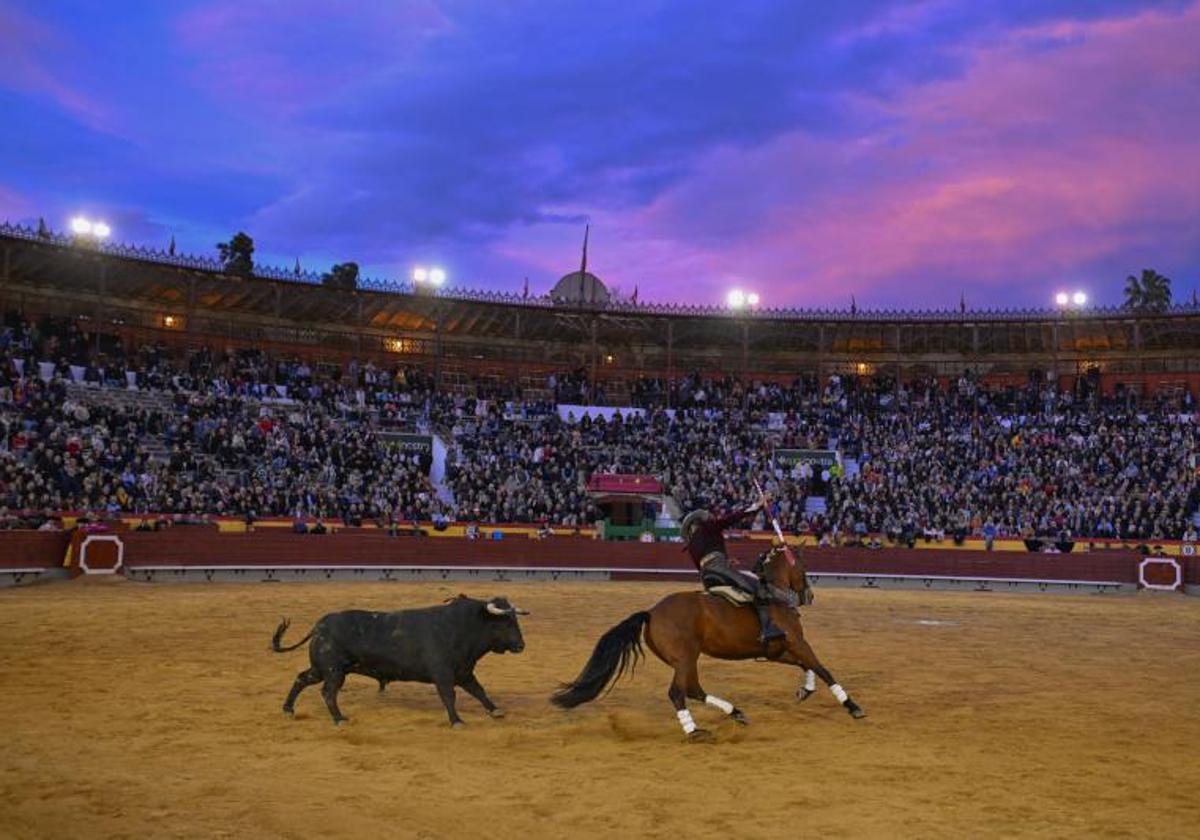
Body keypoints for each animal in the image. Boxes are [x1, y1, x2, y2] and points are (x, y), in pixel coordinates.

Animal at [278, 592, 532, 724]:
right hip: (334, 671)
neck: (462, 626)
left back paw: (288, 709)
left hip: (321, 669)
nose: (521, 645)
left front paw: (495, 710)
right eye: (505, 622)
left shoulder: (464, 672)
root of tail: (319, 626)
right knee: (328, 692)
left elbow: (479, 691)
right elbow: (448, 696)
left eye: (514, 620)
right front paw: (456, 720)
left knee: (301, 678)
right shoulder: (443, 674)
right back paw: (339, 718)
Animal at [549, 547, 868, 739]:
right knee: (678, 692)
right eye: (802, 565)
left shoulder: (779, 650)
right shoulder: (798, 643)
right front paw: (852, 706)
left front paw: (805, 690)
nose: (809, 596)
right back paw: (694, 731)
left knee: (693, 689)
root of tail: (651, 612)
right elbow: (823, 668)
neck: (774, 595)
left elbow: (807, 666)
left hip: (687, 659)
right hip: (684, 658)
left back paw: (735, 712)